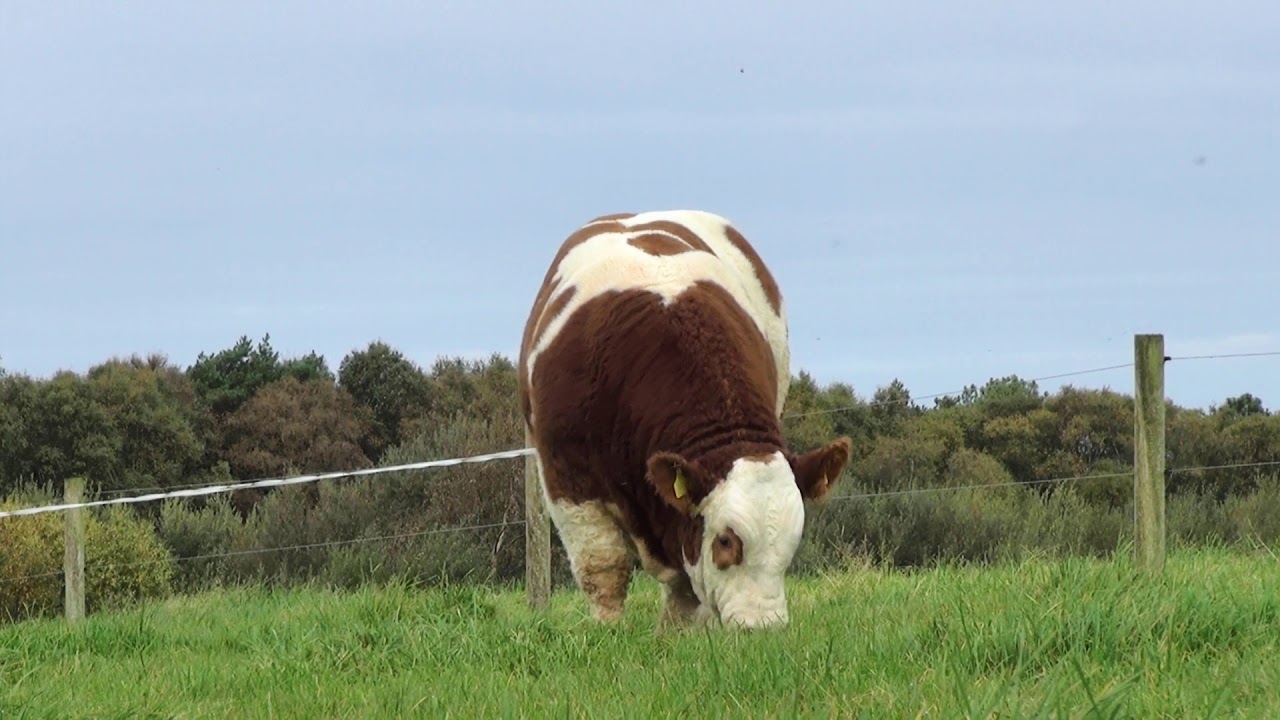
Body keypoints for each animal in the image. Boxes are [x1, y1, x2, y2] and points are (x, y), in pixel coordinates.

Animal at [518, 209, 852, 630]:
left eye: (793, 540)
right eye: (725, 540)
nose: (762, 628)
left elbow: (684, 585)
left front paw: (676, 634)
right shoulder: (567, 479)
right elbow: (603, 566)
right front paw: (608, 631)